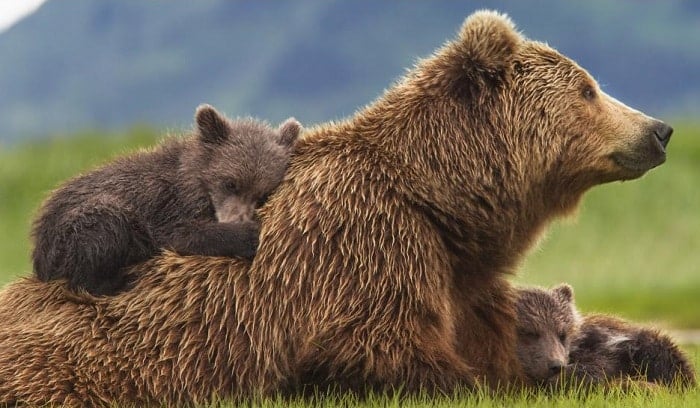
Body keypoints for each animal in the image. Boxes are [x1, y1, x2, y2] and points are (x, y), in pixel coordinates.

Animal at [31, 104, 301, 295]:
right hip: (74, 229)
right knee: (104, 228)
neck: (195, 181)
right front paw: (248, 234)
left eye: (262, 194)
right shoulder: (167, 205)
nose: (238, 219)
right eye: (230, 182)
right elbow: (181, 234)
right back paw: (121, 280)